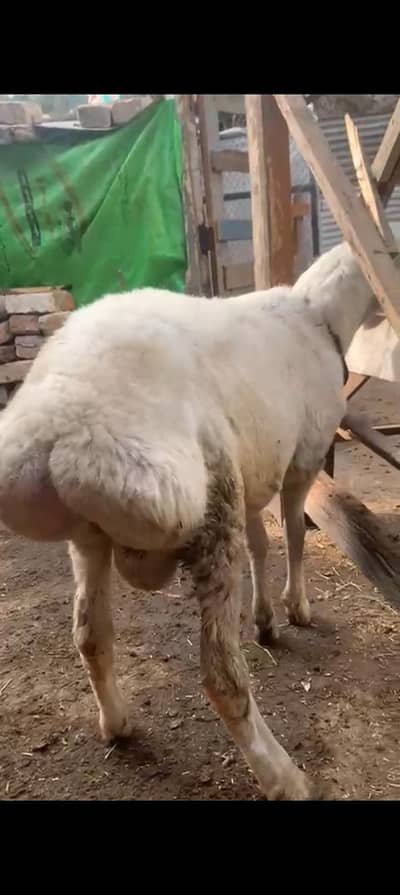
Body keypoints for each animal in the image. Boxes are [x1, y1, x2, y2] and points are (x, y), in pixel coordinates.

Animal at [0, 240, 382, 800]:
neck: (318, 316)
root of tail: (60, 426)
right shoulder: (302, 462)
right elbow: (293, 535)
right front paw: (297, 607)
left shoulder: (256, 474)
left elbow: (261, 544)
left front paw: (266, 615)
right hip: (207, 506)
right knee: (221, 676)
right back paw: (283, 776)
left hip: (89, 537)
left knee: (90, 634)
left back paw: (117, 724)